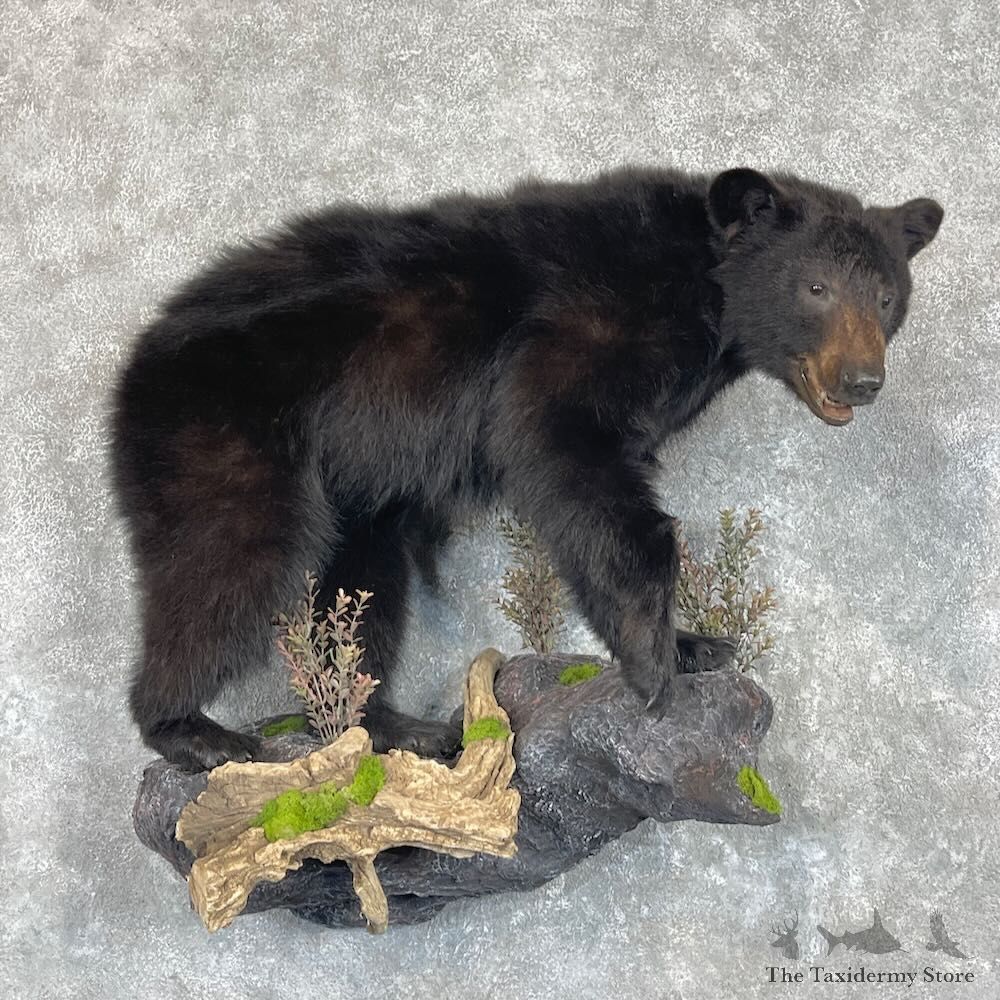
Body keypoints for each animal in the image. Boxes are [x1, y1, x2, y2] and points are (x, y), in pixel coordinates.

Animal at [110, 167, 942, 770]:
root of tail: (137, 362)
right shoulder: (587, 326)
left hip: (351, 495)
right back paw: (194, 729)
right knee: (226, 565)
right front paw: (654, 663)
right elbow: (570, 453)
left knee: (360, 588)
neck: (705, 289)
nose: (863, 380)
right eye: (815, 287)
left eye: (886, 295)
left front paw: (695, 644)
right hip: (226, 437)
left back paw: (393, 723)